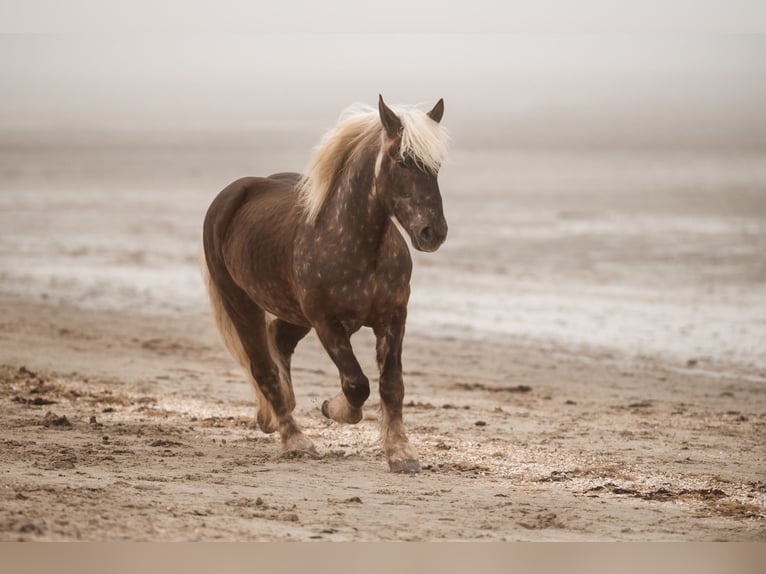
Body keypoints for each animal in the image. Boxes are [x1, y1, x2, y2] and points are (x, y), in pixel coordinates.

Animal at [202, 95, 450, 472]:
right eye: (402, 161)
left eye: (435, 166)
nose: (432, 232)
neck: (360, 248)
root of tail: (231, 196)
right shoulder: (326, 323)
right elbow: (357, 383)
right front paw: (335, 409)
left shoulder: (393, 317)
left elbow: (391, 385)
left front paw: (400, 452)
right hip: (240, 303)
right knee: (263, 367)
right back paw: (294, 439)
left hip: (292, 312)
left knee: (279, 341)